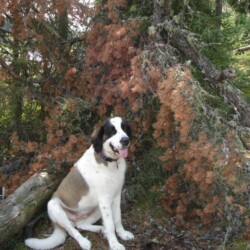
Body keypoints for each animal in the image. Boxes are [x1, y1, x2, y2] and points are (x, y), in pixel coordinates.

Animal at [24, 117, 135, 250]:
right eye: (112, 131)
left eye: (124, 128)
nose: (125, 140)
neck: (110, 162)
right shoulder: (104, 200)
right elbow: (110, 224)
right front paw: (114, 244)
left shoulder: (116, 196)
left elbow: (117, 219)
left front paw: (122, 234)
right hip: (54, 206)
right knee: (72, 230)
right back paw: (84, 242)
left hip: (96, 209)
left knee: (81, 225)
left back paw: (100, 229)